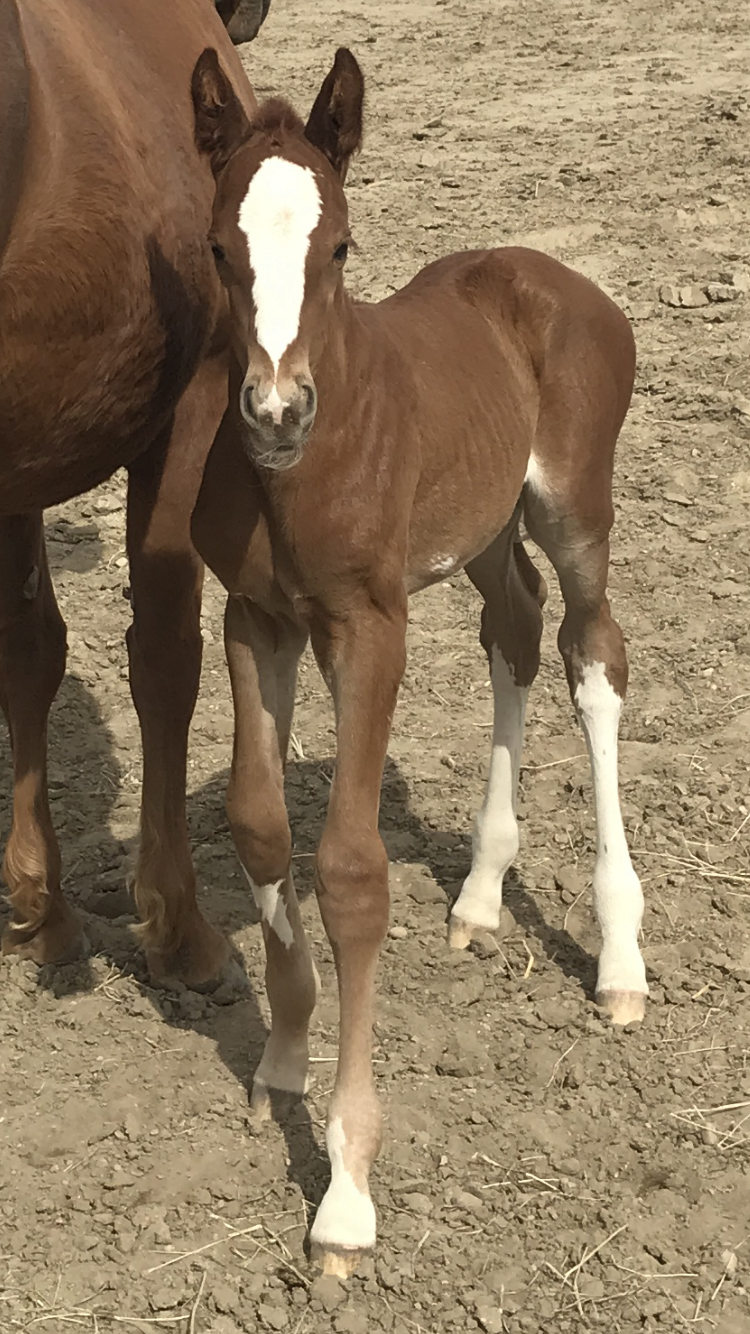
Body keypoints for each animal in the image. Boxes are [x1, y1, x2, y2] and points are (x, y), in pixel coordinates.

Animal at [0, 0, 258, 990]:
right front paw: (180, 926)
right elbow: (166, 658)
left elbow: (29, 649)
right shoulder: (195, 403)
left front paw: (41, 908)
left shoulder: (23, 460)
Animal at [189, 45, 648, 1274]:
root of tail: (551, 276)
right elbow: (260, 822)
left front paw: (347, 1187)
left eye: (341, 247)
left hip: (573, 506)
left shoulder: (369, 626)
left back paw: (621, 960)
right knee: (516, 629)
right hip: (484, 528)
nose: (277, 412)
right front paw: (283, 1051)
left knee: (591, 654)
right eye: (219, 250)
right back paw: (482, 894)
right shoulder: (255, 616)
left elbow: (351, 870)